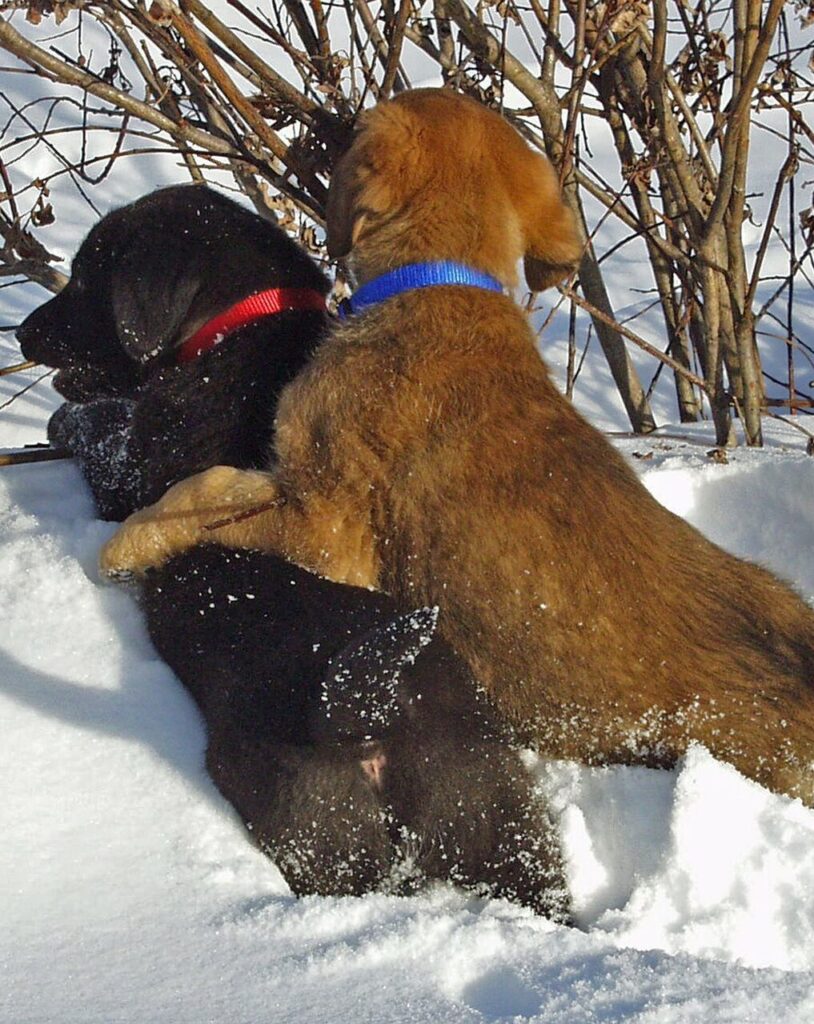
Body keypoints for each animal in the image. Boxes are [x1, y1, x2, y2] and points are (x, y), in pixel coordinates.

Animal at [15, 184, 569, 921]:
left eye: (83, 279)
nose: (21, 334)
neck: (237, 325)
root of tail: (365, 710)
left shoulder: (131, 475)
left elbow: (99, 431)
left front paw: (62, 422)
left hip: (314, 826)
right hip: (495, 816)